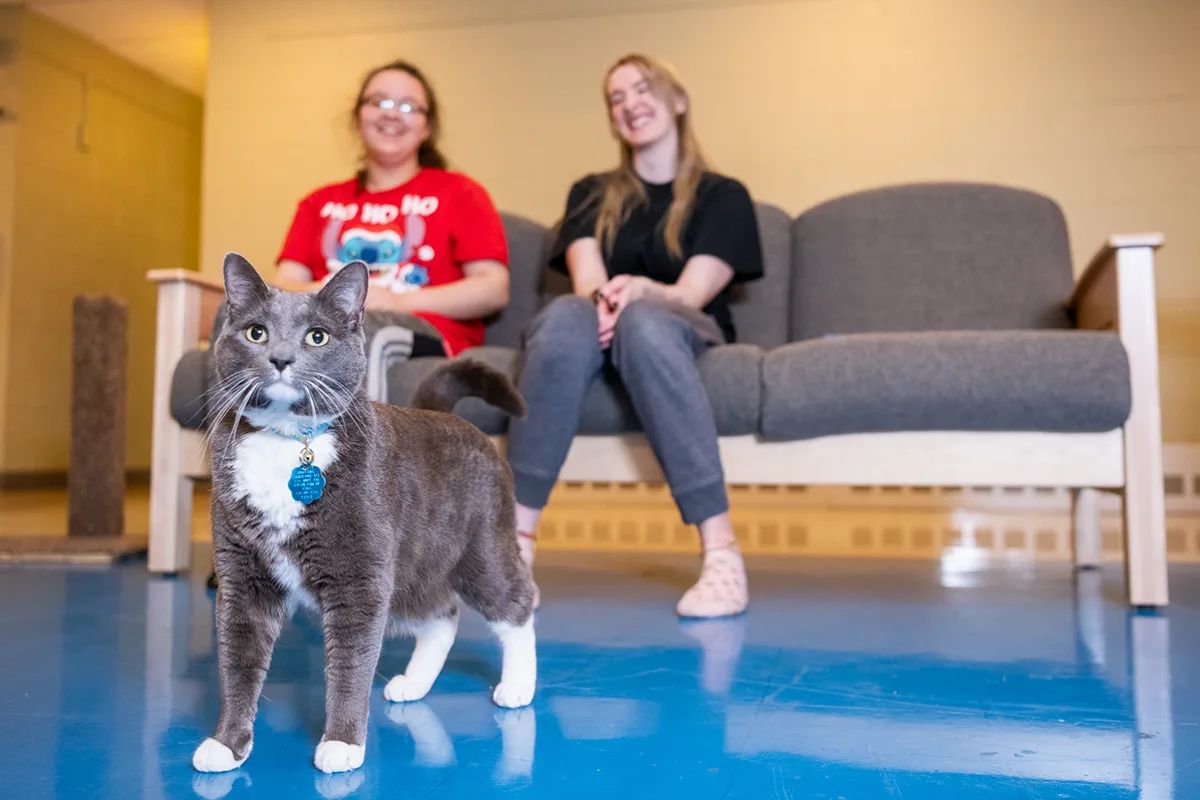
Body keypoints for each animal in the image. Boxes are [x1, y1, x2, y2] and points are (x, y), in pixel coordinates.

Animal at [193, 255, 540, 777]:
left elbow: (351, 663)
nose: (280, 358)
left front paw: (341, 743)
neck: (288, 442)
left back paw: (518, 685)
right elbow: (237, 659)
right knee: (442, 614)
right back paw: (413, 684)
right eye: (256, 333)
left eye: (317, 337)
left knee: (516, 602)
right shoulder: (242, 575)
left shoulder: (360, 579)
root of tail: (451, 417)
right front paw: (227, 743)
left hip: (481, 548)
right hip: (414, 567)